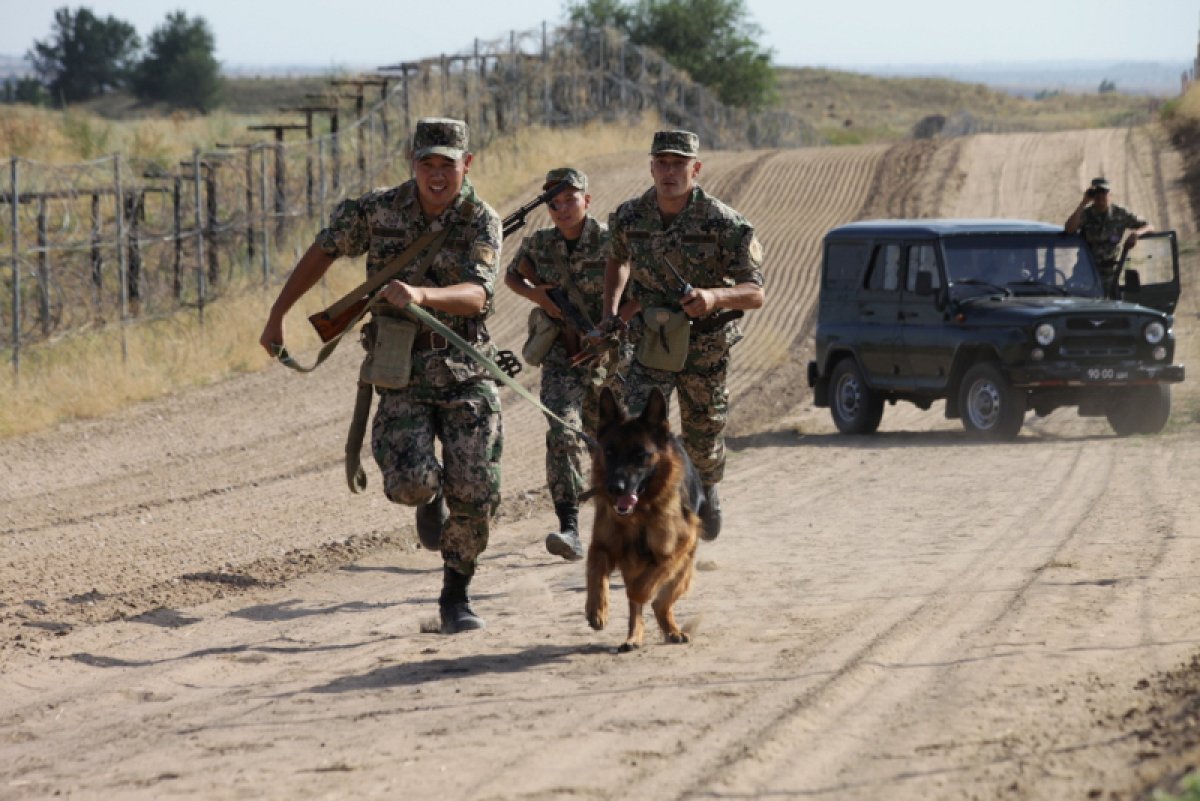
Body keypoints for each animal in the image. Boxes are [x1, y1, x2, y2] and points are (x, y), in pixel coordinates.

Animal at [588, 386, 705, 652]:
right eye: (609, 452)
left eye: (640, 454)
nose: (615, 488)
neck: (639, 515)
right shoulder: (601, 546)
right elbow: (596, 575)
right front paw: (596, 610)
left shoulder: (673, 550)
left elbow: (641, 589)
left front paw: (636, 594)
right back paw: (634, 637)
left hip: (683, 569)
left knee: (660, 602)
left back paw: (672, 630)